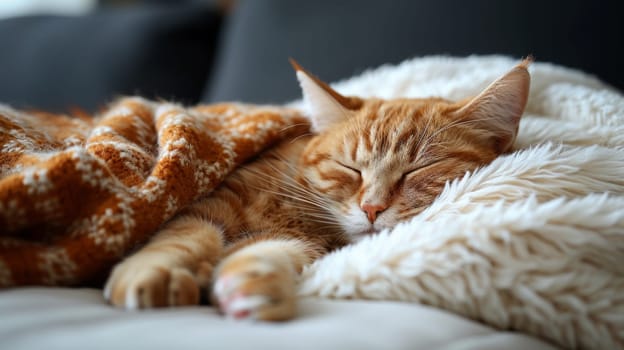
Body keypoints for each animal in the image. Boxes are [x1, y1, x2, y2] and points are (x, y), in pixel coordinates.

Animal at [103, 58, 532, 322]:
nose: (372, 208)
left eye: (418, 170)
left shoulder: (300, 243)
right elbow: (184, 235)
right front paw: (153, 270)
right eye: (350, 168)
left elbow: (275, 252)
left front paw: (252, 281)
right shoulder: (211, 203)